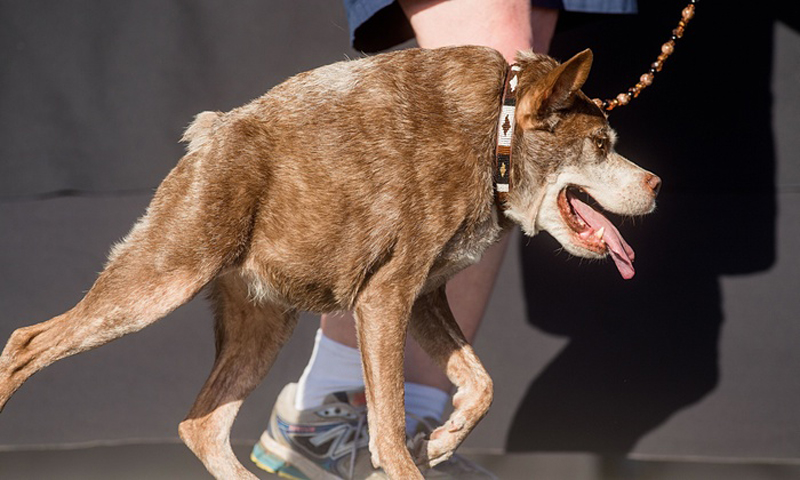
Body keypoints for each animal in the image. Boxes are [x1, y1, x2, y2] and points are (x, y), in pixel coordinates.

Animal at [0, 46, 660, 480]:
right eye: (601, 146)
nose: (657, 184)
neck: (493, 136)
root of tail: (209, 135)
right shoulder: (384, 297)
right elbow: (389, 430)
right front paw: (415, 454)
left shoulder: (423, 296)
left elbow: (481, 383)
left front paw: (444, 441)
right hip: (162, 278)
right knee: (26, 343)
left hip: (264, 322)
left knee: (201, 426)